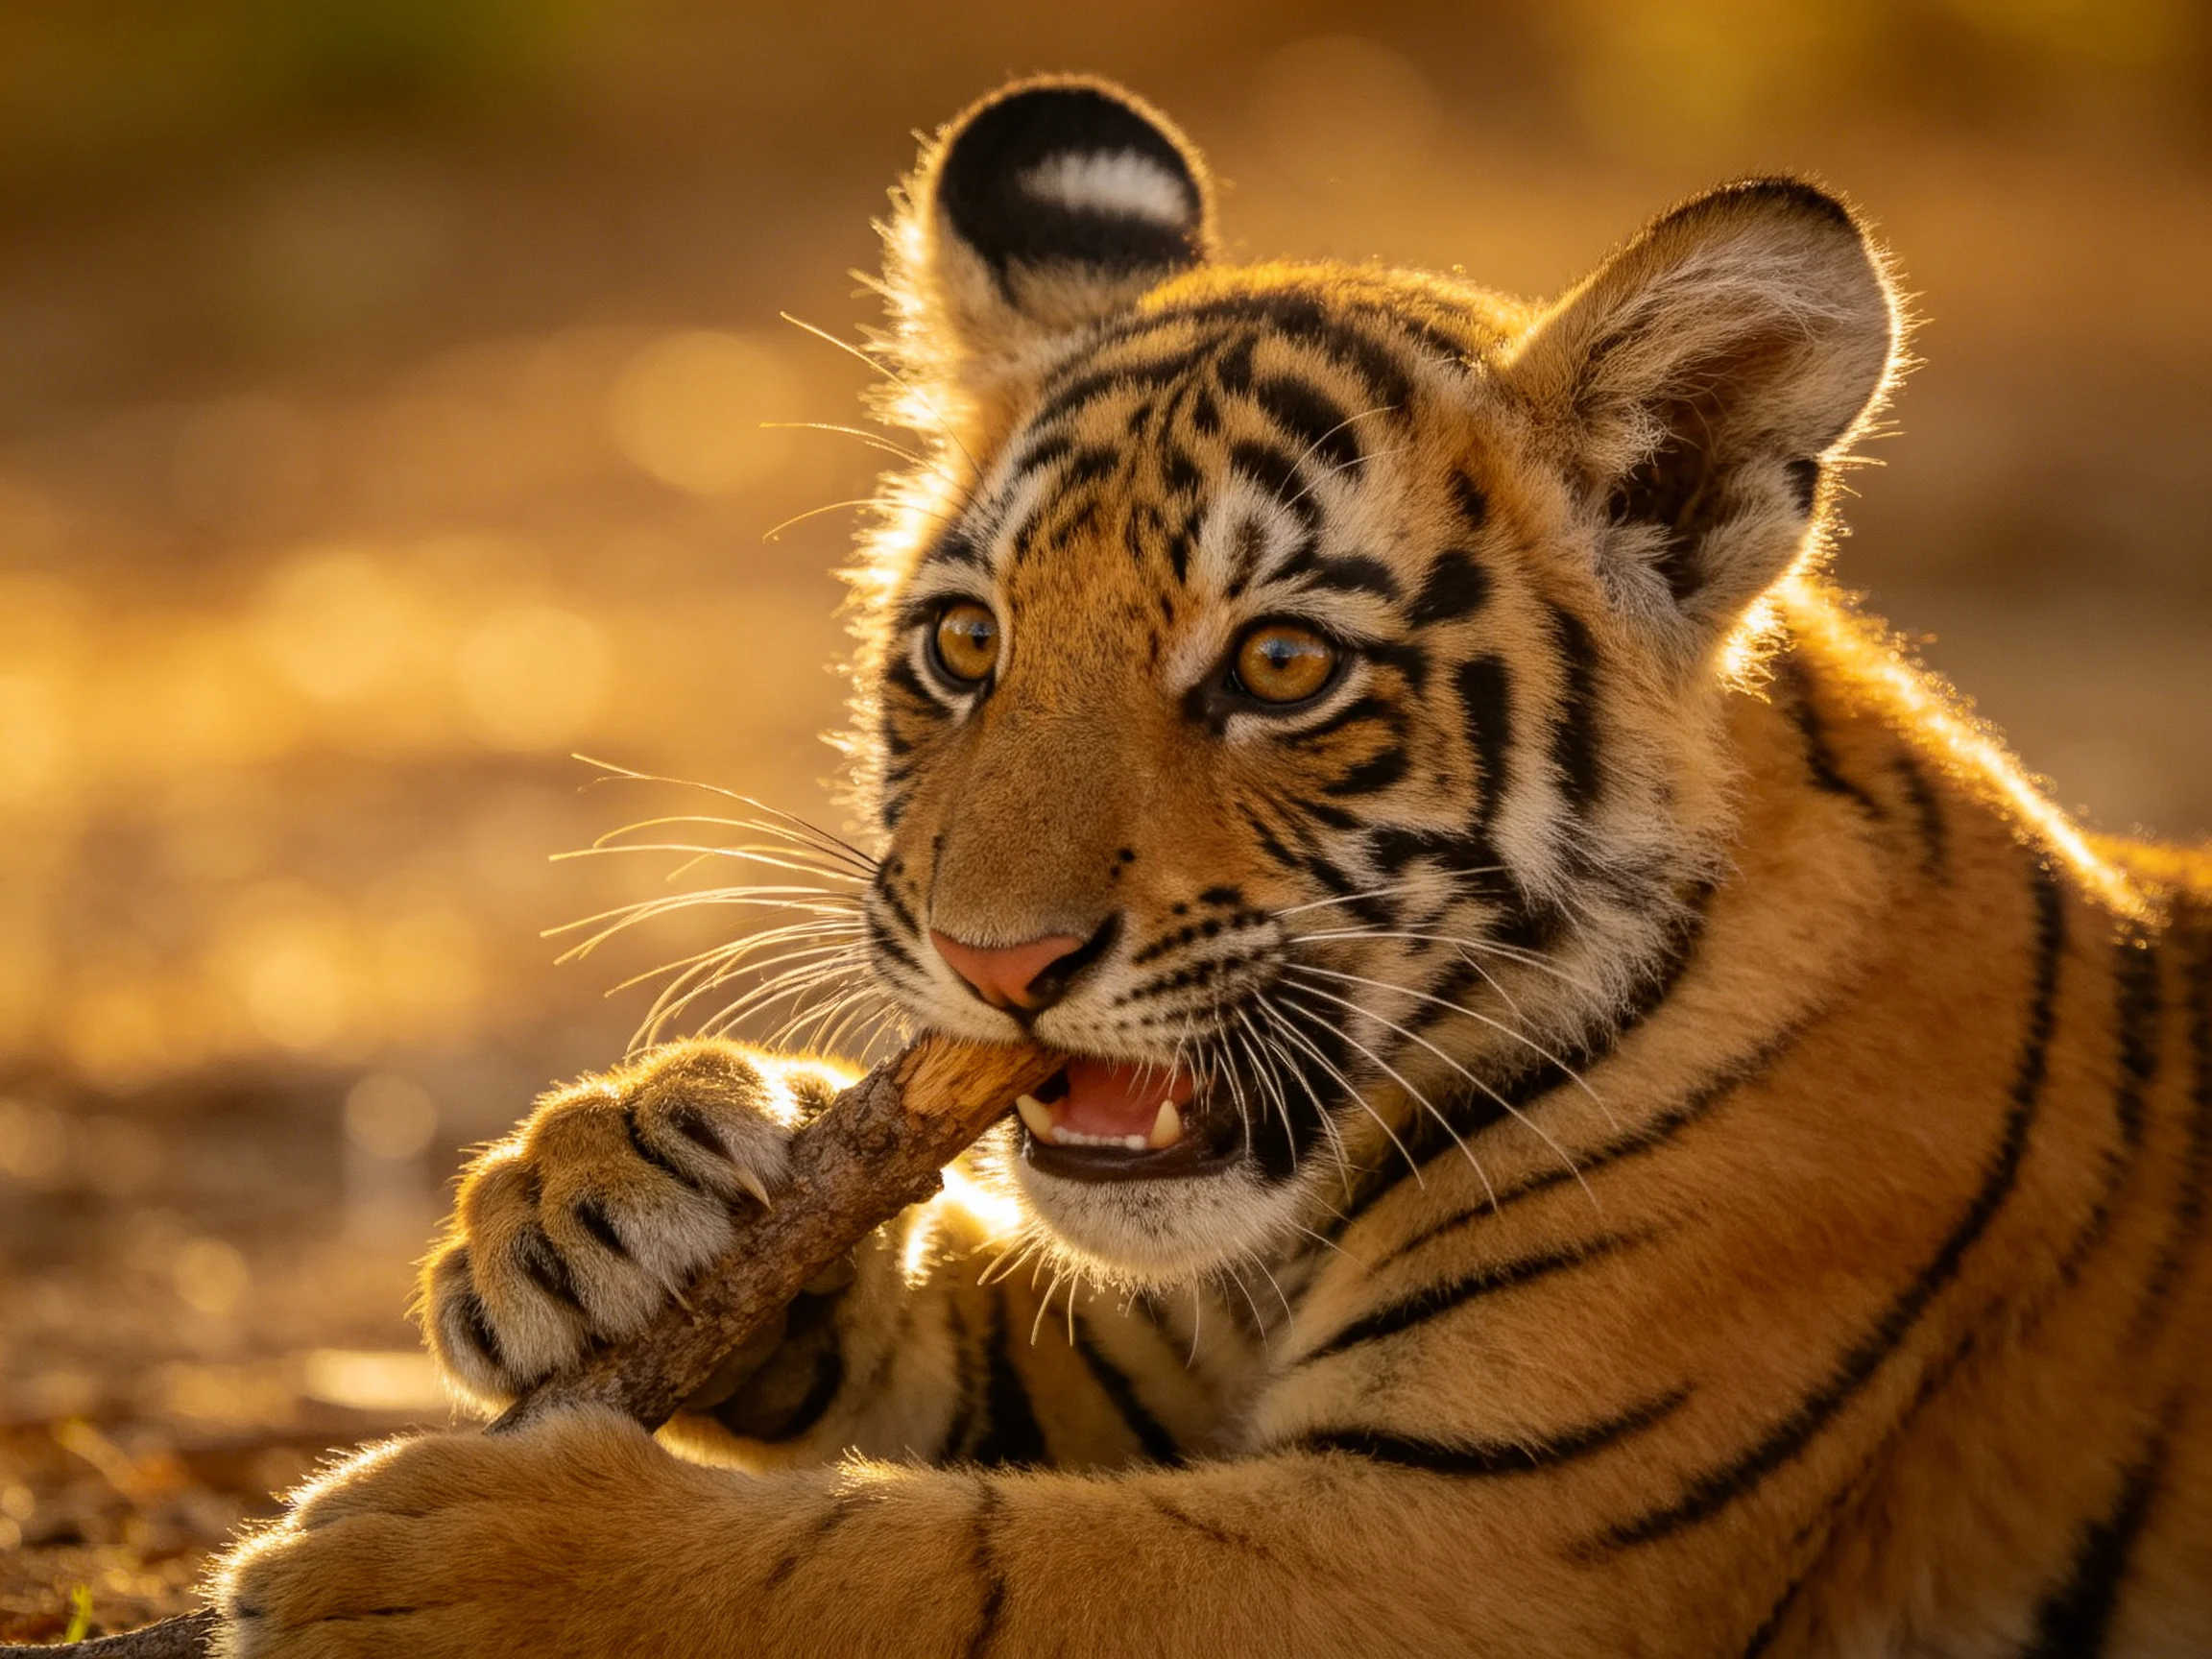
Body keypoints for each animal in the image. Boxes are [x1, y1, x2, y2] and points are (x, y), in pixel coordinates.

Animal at [213, 76, 2212, 1658]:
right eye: (964, 644)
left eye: (1279, 666)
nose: (991, 962)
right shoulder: (1140, 1355)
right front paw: (593, 1186)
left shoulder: (1479, 1539)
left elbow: (941, 1575)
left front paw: (430, 1580)